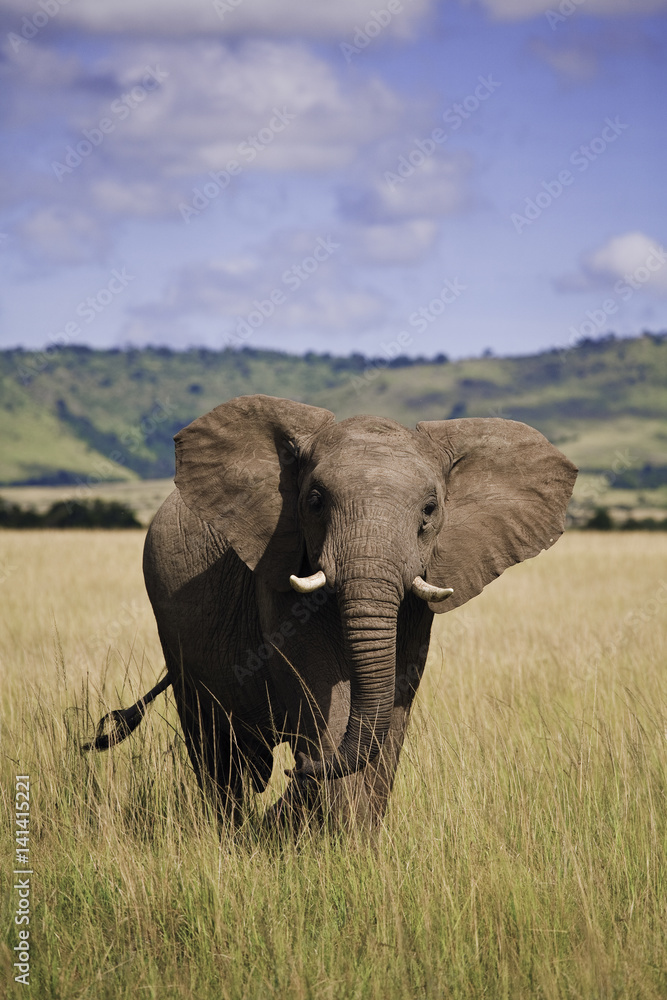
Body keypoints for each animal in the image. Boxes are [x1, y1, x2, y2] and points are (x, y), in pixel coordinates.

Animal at [86, 394, 577, 828]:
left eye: (430, 509)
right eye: (315, 501)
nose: (301, 767)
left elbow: (393, 701)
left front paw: (359, 842)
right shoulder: (278, 567)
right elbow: (325, 691)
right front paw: (339, 839)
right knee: (220, 750)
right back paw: (232, 831)